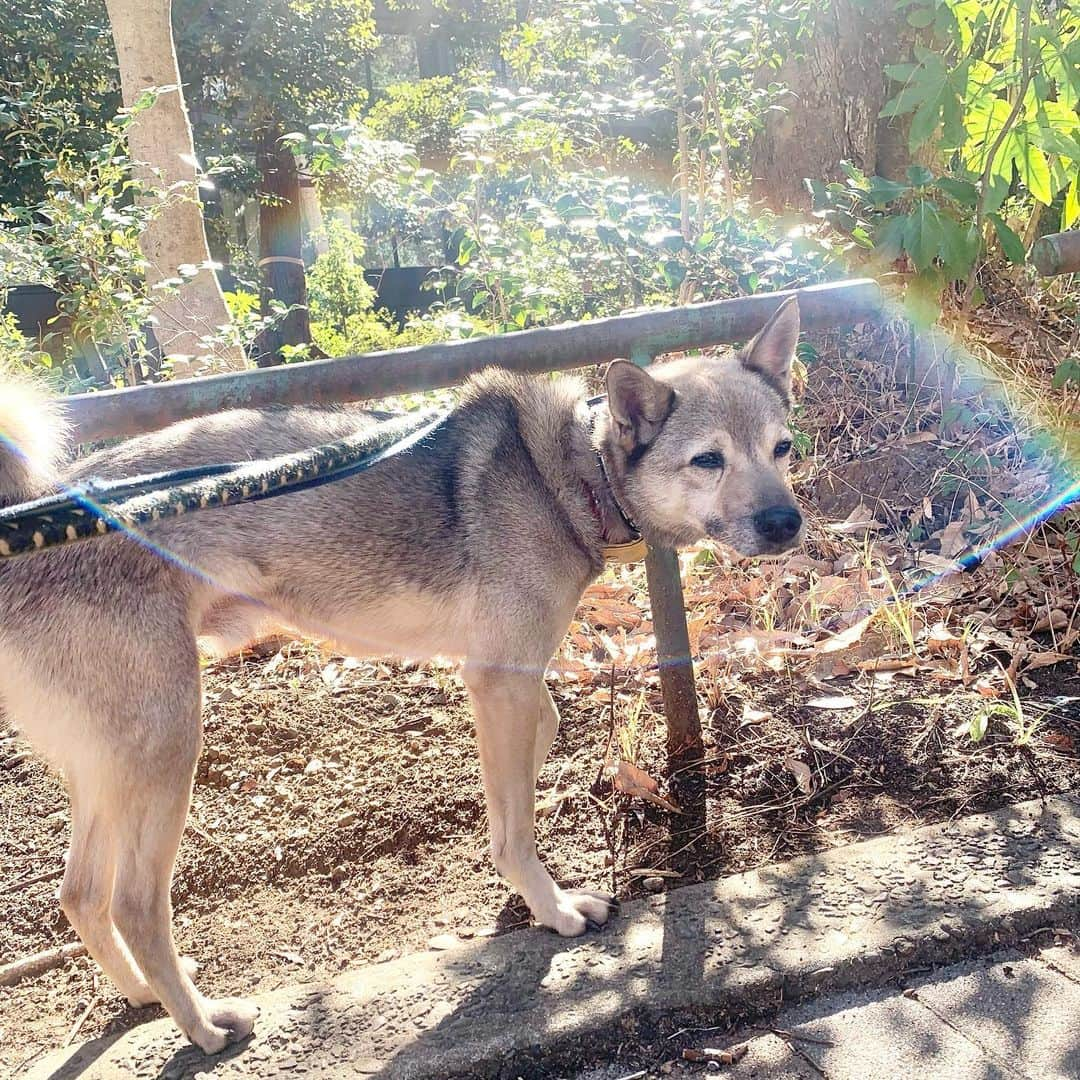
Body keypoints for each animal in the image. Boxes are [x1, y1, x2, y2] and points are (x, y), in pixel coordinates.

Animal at [0, 298, 803, 1054]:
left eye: (782, 448)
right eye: (708, 460)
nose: (786, 523)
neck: (572, 473)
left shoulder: (510, 685)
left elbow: (524, 776)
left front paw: (523, 894)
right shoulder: (499, 681)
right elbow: (514, 830)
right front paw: (552, 912)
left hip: (110, 767)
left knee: (80, 894)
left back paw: (143, 996)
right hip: (168, 746)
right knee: (134, 904)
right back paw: (201, 1023)